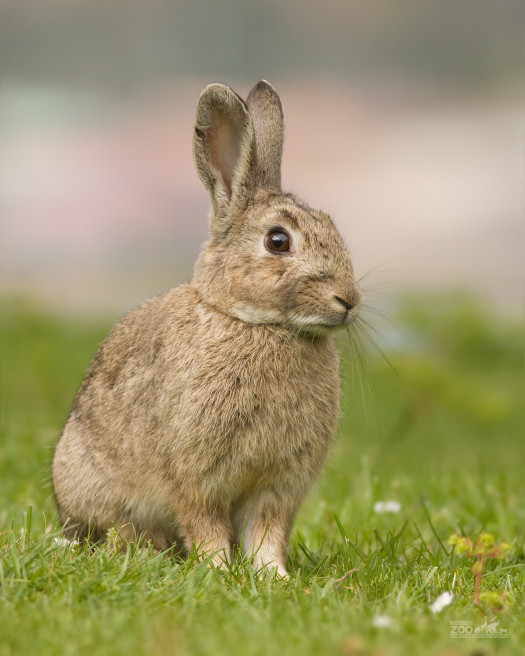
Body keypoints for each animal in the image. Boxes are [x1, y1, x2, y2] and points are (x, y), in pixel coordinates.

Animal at [54, 80, 364, 576]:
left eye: (332, 226)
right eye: (278, 241)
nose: (348, 300)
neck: (257, 324)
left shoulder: (277, 486)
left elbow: (267, 532)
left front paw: (273, 576)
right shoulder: (195, 477)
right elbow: (204, 524)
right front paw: (218, 569)